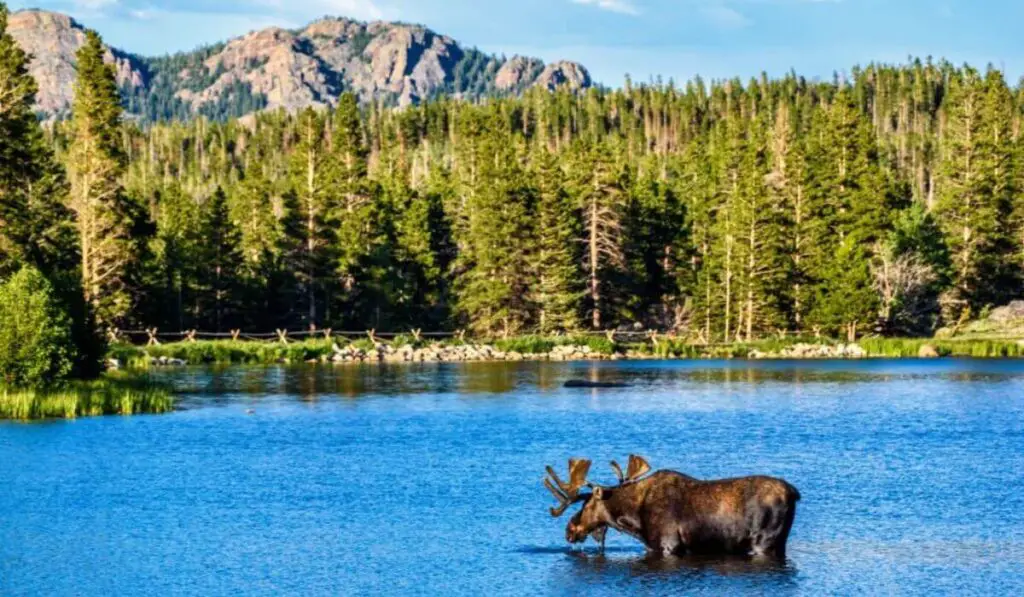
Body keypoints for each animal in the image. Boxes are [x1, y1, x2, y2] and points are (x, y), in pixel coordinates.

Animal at [544, 458, 798, 561]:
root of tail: (794, 493)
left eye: (585, 505)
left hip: (763, 542)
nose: (569, 530)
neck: (634, 519)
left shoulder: (668, 545)